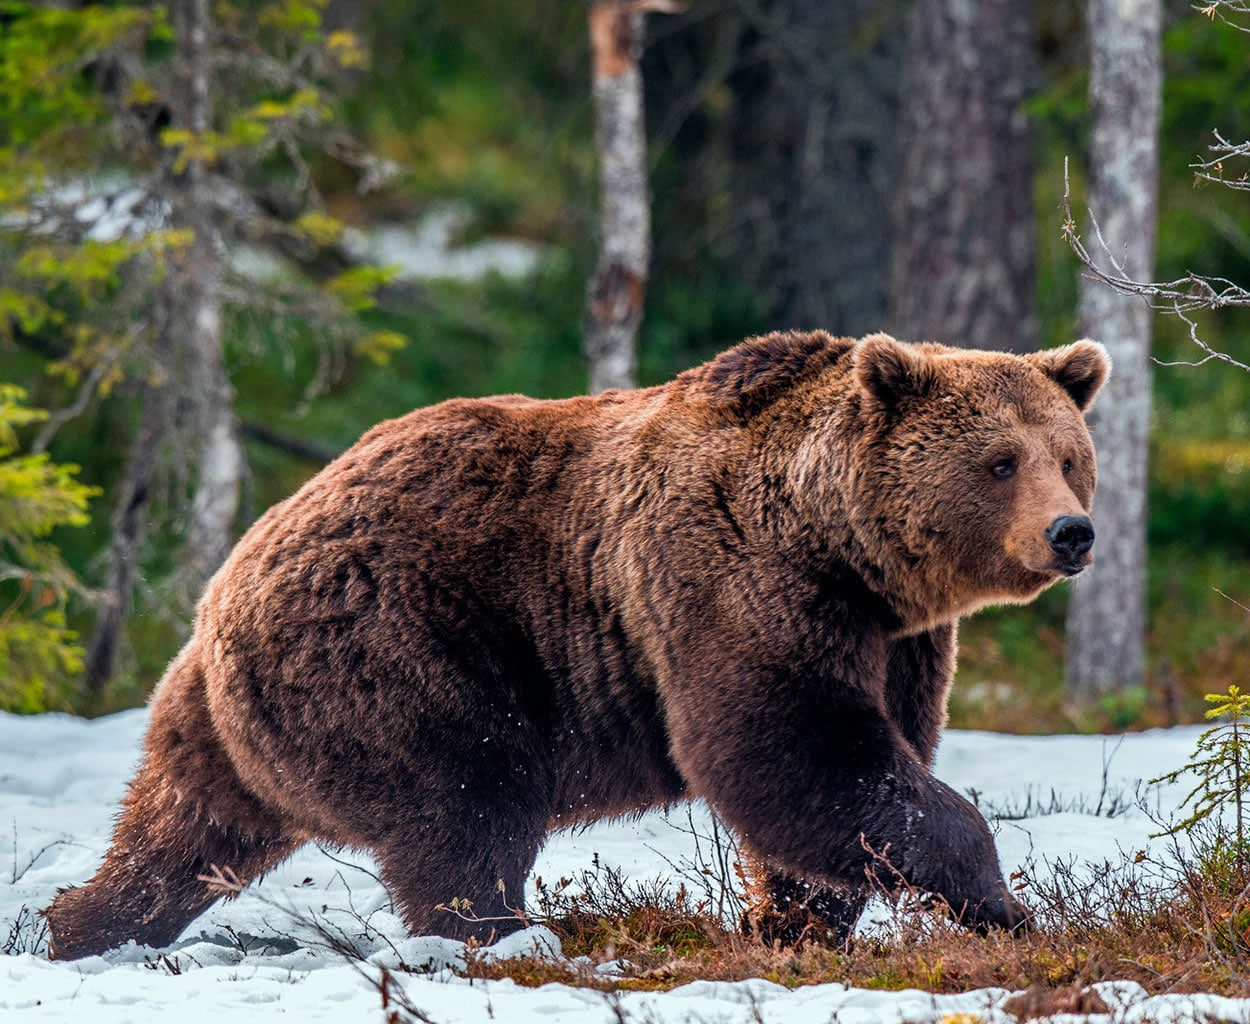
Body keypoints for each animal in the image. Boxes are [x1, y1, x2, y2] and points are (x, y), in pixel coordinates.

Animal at [44, 330, 1110, 960]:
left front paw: (796, 922)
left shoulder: (897, 640)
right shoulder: (733, 583)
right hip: (404, 646)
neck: (842, 546)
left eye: (1069, 457)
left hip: (224, 715)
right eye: (999, 461)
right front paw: (1002, 901)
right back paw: (506, 937)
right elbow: (792, 751)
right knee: (469, 801)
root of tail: (233, 570)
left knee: (181, 831)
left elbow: (857, 771)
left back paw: (77, 926)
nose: (1072, 533)